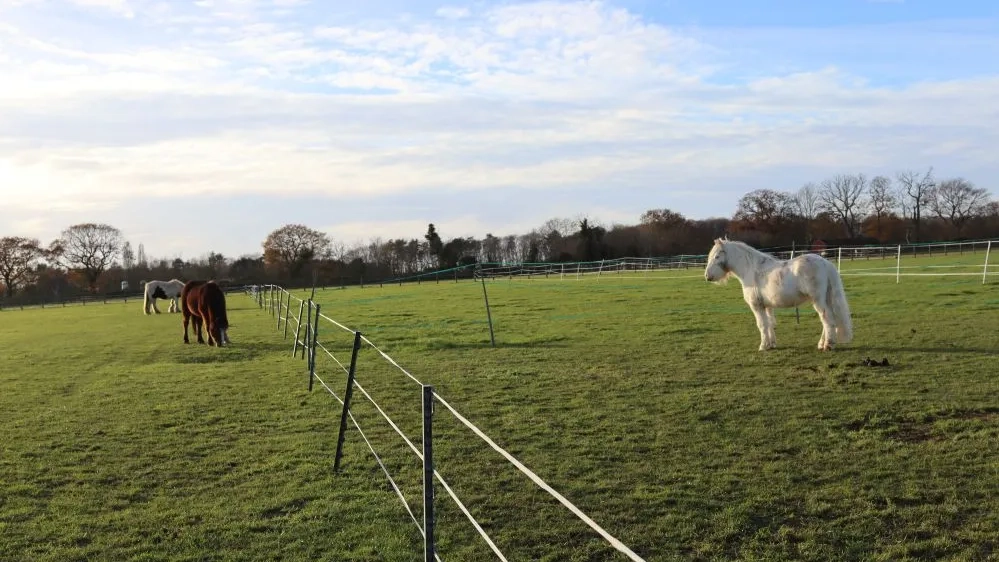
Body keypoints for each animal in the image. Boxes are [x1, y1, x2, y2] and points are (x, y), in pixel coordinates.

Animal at [703, 238, 853, 351]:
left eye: (716, 256)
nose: (707, 276)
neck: (751, 271)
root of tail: (826, 263)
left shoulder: (756, 306)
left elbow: (762, 325)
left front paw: (763, 346)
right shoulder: (767, 306)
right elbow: (769, 324)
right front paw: (771, 344)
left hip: (818, 300)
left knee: (827, 319)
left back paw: (828, 345)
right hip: (825, 299)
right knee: (827, 321)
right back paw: (822, 344)